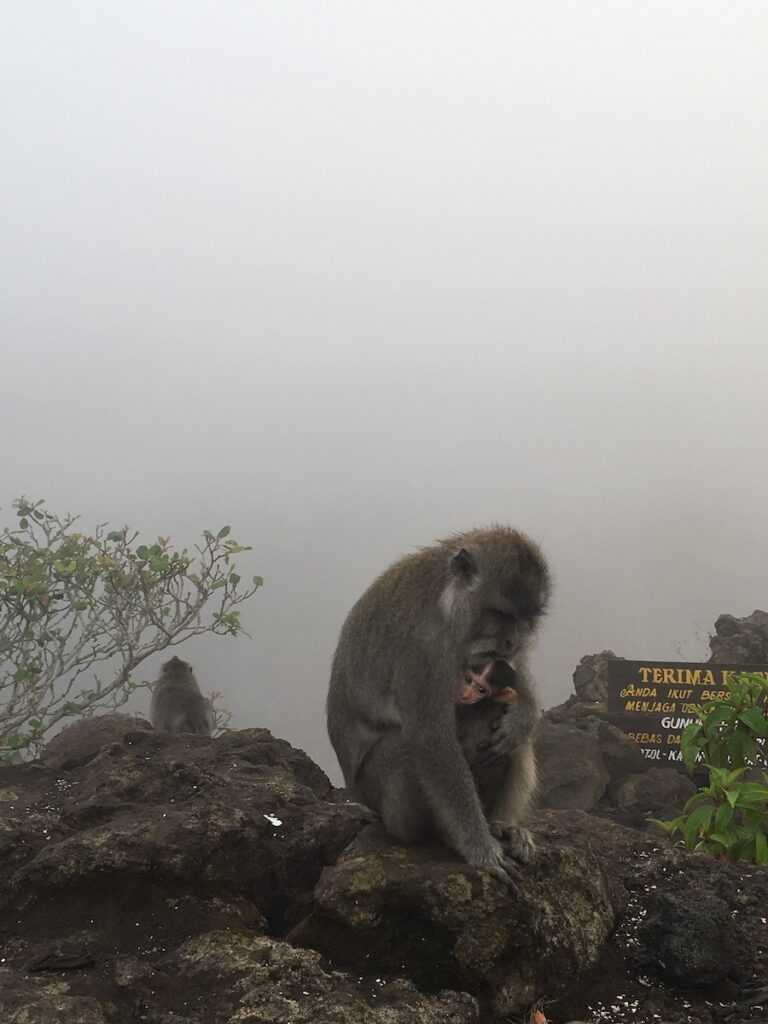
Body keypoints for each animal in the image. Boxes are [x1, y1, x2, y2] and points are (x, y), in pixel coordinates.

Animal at [327, 528, 548, 888]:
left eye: (525, 620)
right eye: (503, 615)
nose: (512, 642)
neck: (448, 603)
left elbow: (516, 676)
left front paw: (522, 717)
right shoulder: (424, 648)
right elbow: (430, 739)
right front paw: (481, 850)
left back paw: (504, 824)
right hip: (385, 805)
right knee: (401, 748)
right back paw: (446, 835)